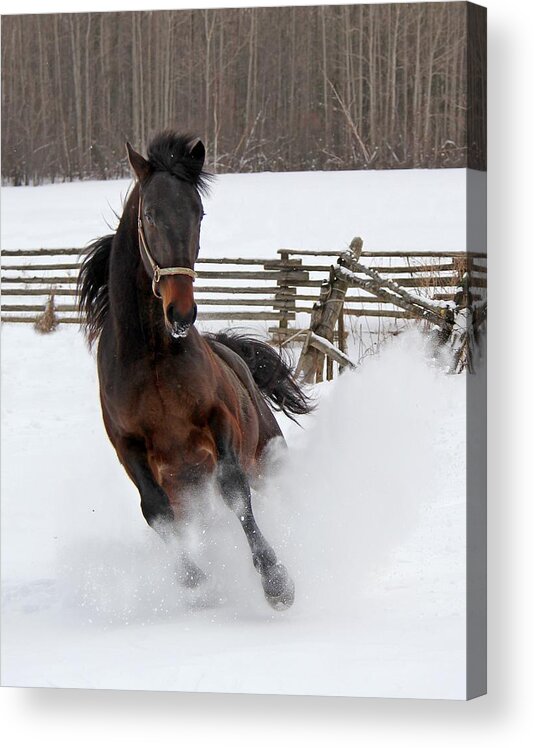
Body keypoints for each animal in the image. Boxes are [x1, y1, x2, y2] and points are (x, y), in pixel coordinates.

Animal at [79, 131, 314, 612]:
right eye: (150, 214)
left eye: (198, 213)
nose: (181, 312)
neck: (151, 357)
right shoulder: (129, 446)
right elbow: (156, 511)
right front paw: (194, 581)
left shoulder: (217, 421)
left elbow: (233, 488)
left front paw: (276, 582)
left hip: (268, 458)